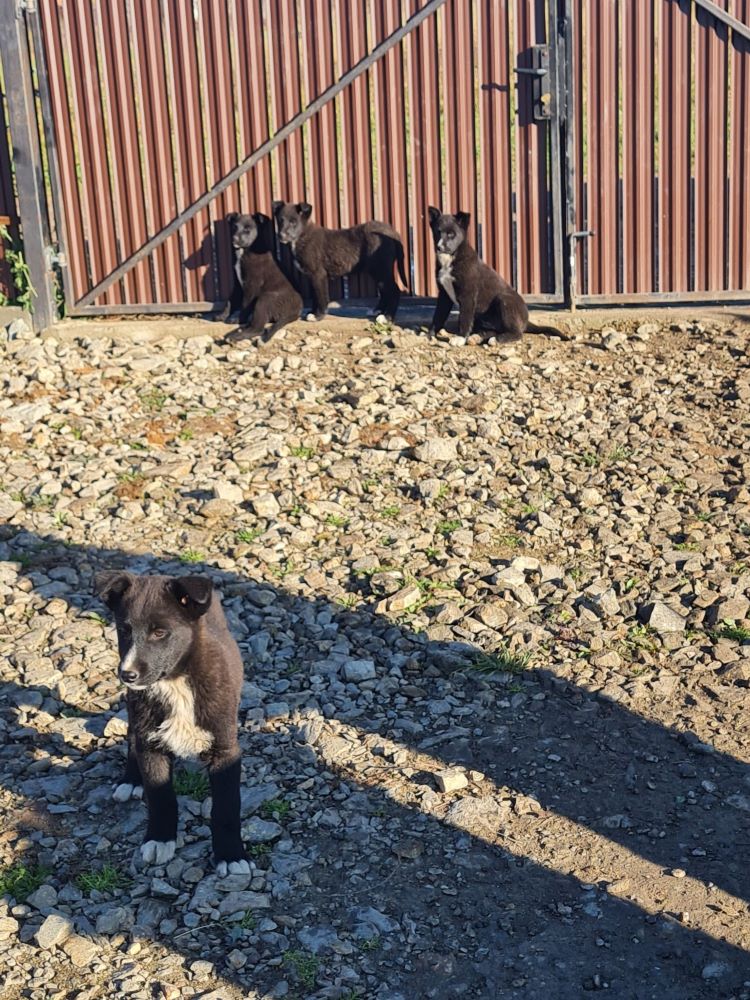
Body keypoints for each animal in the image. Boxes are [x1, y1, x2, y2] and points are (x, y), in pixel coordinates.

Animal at [94, 572, 250, 876]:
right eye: (124, 630)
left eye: (159, 632)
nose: (127, 674)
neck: (176, 684)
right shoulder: (151, 743)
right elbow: (160, 797)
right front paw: (159, 839)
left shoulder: (226, 751)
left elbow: (226, 807)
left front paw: (230, 856)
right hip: (136, 711)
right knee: (132, 737)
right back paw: (131, 780)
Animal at [219, 211, 302, 344]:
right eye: (234, 227)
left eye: (247, 229)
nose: (234, 239)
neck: (244, 251)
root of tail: (297, 310)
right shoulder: (237, 285)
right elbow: (230, 301)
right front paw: (222, 316)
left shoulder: (251, 285)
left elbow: (244, 304)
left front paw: (238, 319)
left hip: (265, 299)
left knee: (258, 328)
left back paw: (233, 337)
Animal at [274, 203, 408, 324]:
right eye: (280, 220)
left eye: (293, 222)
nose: (281, 235)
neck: (302, 235)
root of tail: (392, 232)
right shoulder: (312, 276)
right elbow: (315, 296)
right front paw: (312, 312)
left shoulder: (318, 274)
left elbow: (321, 296)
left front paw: (318, 316)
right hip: (376, 270)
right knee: (385, 291)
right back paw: (378, 311)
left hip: (381, 269)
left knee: (394, 290)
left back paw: (387, 317)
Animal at [428, 205, 568, 342]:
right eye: (437, 232)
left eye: (451, 234)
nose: (439, 247)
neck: (451, 258)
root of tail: (526, 320)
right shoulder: (444, 295)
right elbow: (438, 316)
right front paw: (430, 335)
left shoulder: (468, 295)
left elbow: (464, 319)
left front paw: (460, 338)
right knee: (493, 330)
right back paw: (478, 337)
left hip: (504, 300)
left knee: (517, 333)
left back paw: (498, 339)